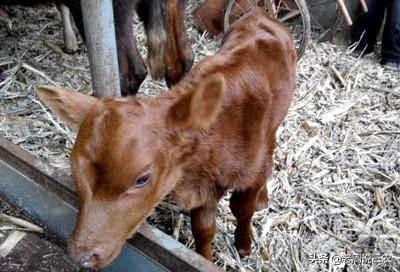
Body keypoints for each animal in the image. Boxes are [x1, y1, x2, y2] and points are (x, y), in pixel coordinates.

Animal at [35, 7, 296, 268]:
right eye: (75, 168)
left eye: (142, 179)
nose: (81, 254)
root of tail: (260, 13)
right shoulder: (204, 186)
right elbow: (204, 229)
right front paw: (204, 259)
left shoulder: (252, 171)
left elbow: (241, 209)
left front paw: (244, 245)